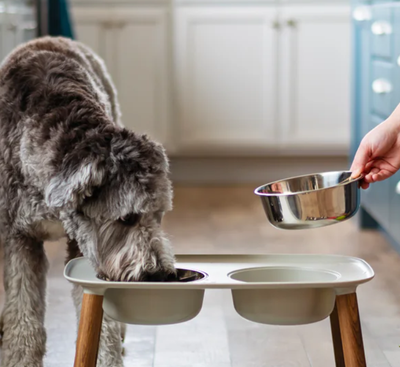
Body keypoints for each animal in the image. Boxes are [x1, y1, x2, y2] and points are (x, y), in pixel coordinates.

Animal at [0, 35, 177, 367]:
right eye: (127, 218)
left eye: (158, 215)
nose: (158, 273)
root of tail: (52, 37)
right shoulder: (18, 238)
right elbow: (23, 317)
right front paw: (18, 357)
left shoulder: (83, 243)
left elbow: (101, 323)